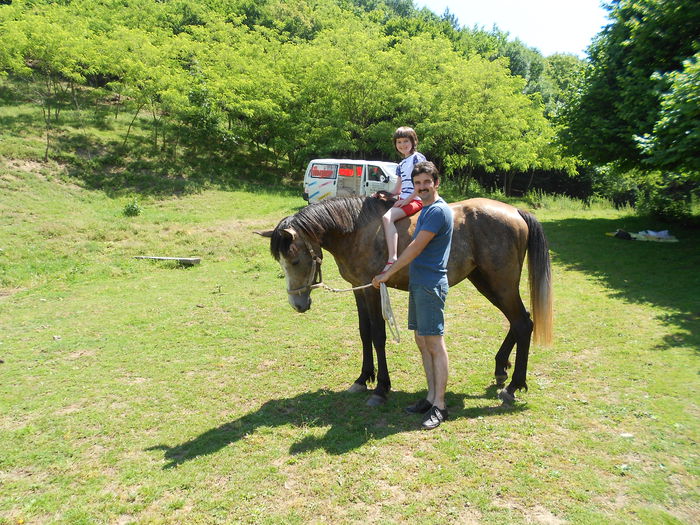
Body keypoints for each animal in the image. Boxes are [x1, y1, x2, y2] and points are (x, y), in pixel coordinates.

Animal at [258, 195, 552, 406]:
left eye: (295, 260)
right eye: (281, 261)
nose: (297, 305)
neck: (355, 230)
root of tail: (516, 212)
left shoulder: (374, 289)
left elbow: (378, 335)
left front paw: (381, 388)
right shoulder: (358, 289)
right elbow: (364, 333)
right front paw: (363, 378)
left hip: (500, 284)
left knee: (523, 323)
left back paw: (513, 387)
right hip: (485, 282)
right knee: (518, 322)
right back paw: (502, 369)